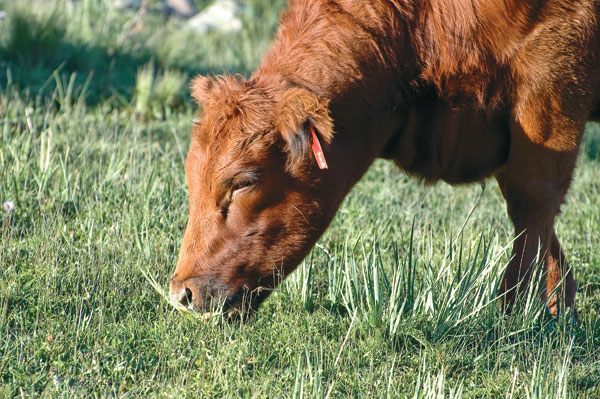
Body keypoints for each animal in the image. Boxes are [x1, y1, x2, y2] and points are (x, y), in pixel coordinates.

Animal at [169, 0, 600, 318]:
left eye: (243, 182)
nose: (180, 293)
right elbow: (541, 225)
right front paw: (559, 309)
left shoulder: (552, 80)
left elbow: (533, 204)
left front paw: (515, 313)